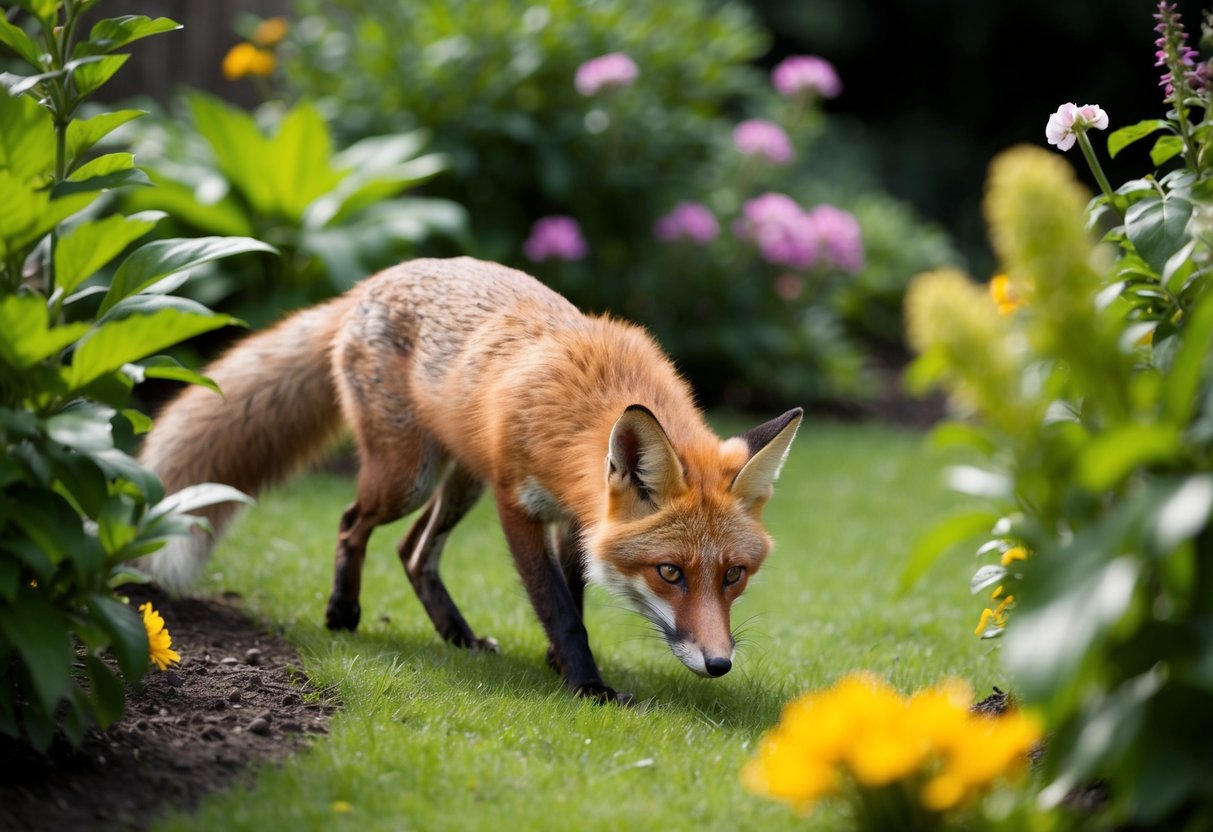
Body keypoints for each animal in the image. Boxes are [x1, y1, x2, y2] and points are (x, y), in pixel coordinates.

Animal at [138, 257, 802, 702]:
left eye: (734, 575)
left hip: (460, 480)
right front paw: (587, 685)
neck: (586, 403)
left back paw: (457, 635)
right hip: (409, 476)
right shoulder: (518, 504)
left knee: (412, 552)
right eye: (669, 572)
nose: (719, 664)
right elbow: (557, 605)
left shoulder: (577, 520)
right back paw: (343, 612)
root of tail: (370, 282)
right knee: (353, 522)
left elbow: (576, 596)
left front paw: (560, 664)